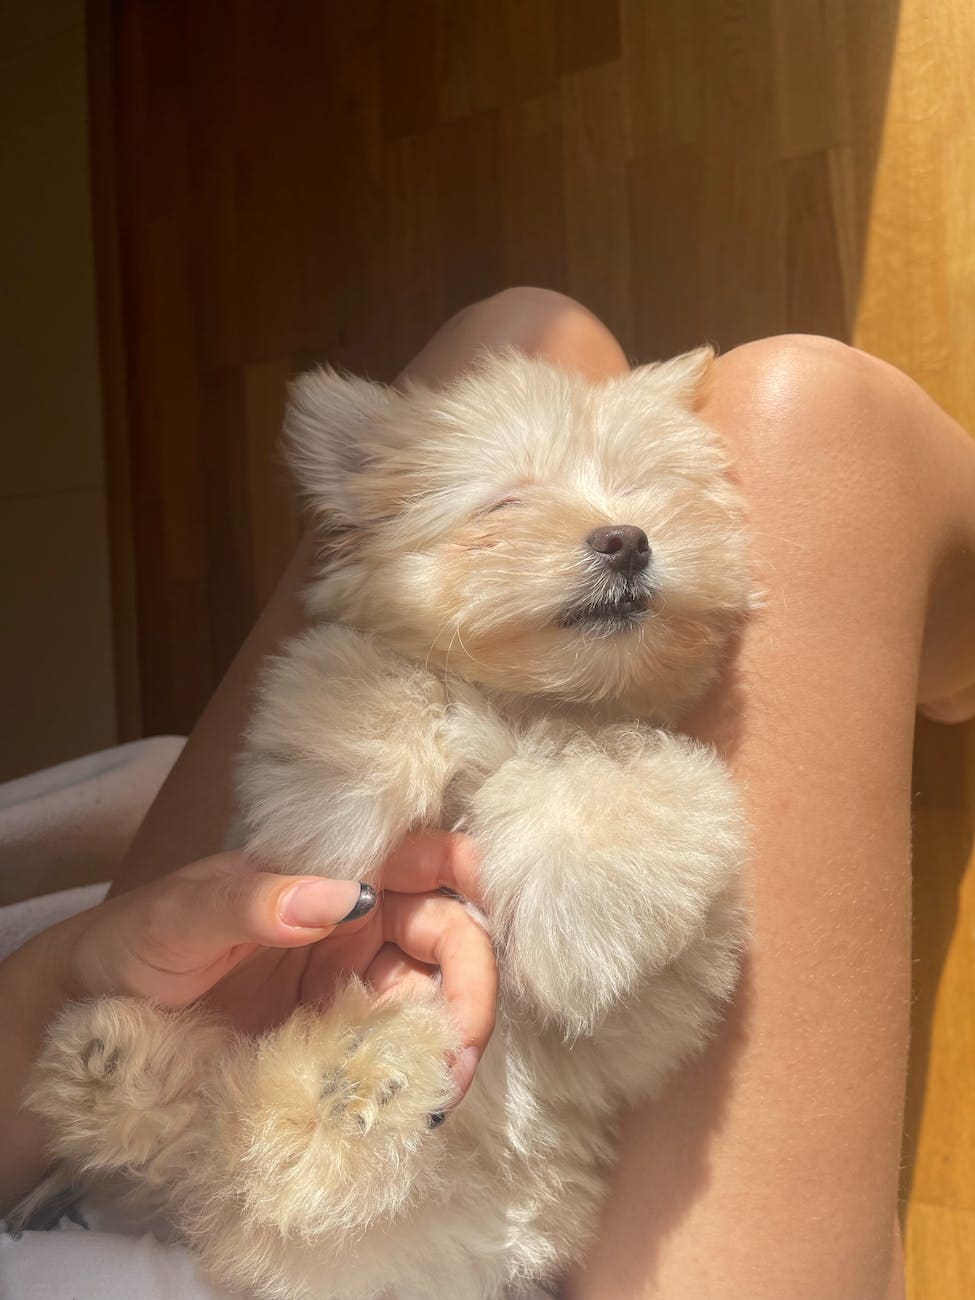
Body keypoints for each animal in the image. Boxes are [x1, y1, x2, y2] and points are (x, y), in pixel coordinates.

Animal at [22, 348, 754, 1300]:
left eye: (641, 493)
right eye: (503, 503)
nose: (626, 538)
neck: (533, 702)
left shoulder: (653, 994)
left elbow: (619, 779)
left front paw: (579, 908)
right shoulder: (340, 668)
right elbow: (370, 681)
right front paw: (335, 808)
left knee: (272, 1159)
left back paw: (347, 1081)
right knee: (221, 1141)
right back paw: (131, 1068)